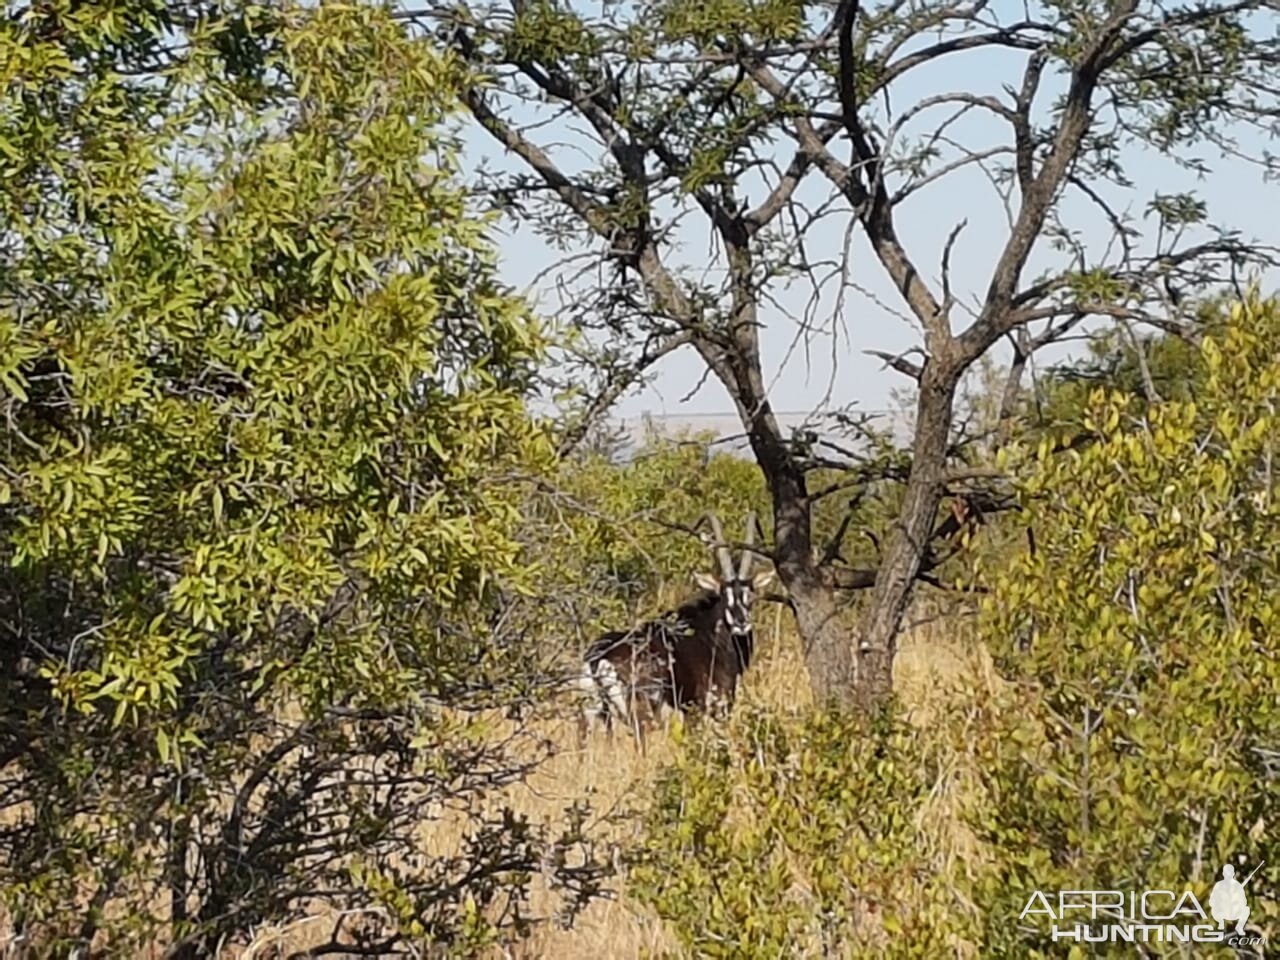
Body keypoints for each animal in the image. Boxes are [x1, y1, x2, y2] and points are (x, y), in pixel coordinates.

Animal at [578, 514, 773, 747]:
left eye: (750, 595)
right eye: (723, 594)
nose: (740, 623)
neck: (711, 637)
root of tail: (598, 658)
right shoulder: (706, 707)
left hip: (593, 717)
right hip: (640, 715)